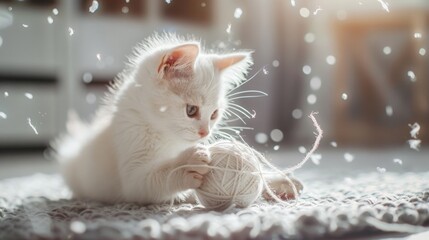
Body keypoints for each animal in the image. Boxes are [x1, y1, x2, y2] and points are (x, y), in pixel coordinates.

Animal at [53, 32, 254, 203]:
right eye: (191, 110)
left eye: (214, 114)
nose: (205, 132)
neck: (166, 135)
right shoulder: (130, 166)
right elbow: (149, 180)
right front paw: (184, 165)